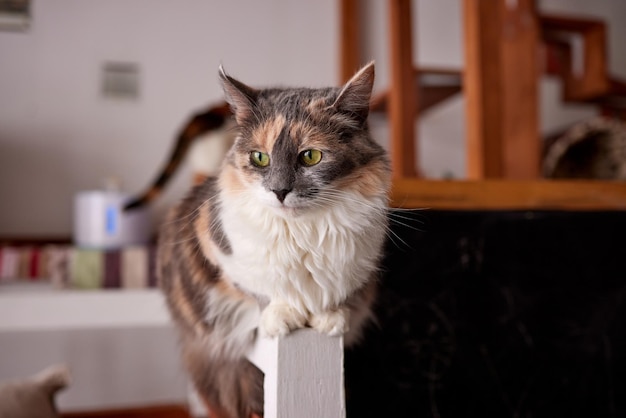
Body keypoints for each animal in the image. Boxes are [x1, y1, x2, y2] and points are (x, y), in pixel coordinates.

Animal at [158, 62, 388, 418]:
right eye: (260, 158)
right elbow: (261, 287)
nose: (280, 191)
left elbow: (336, 292)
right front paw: (283, 316)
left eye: (310, 156)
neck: (301, 232)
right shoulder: (219, 249)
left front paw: (329, 318)